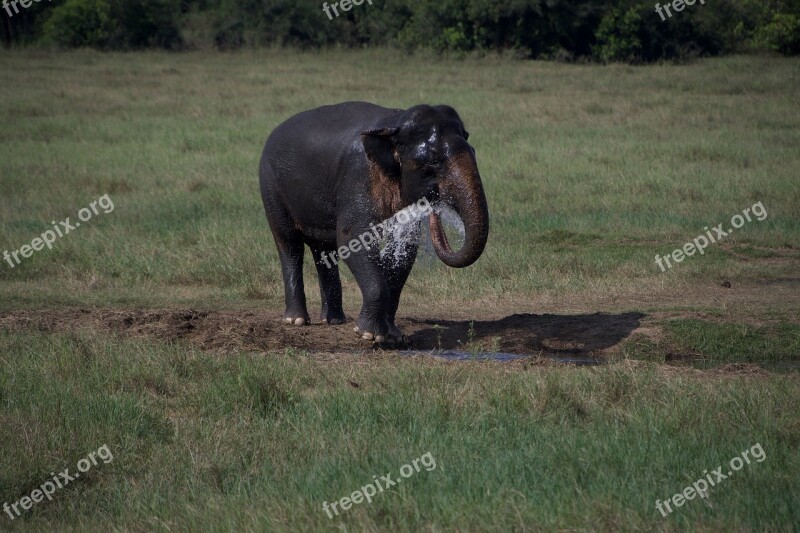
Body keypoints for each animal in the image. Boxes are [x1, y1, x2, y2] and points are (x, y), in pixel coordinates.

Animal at [260, 102, 490, 342]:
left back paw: (333, 320)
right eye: (434, 162)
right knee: (289, 244)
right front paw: (370, 335)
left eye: (474, 152)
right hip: (270, 186)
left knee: (323, 249)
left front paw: (394, 335)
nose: (434, 208)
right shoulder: (357, 176)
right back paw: (296, 320)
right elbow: (350, 237)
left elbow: (404, 249)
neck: (394, 123)